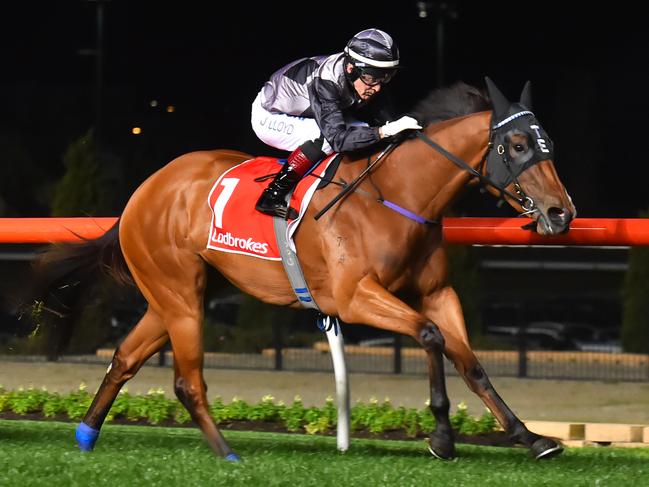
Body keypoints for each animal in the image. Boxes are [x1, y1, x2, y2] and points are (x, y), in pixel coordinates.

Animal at [31, 79, 572, 462]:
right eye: (518, 145)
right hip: (179, 292)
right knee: (187, 381)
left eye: (547, 142)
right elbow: (430, 337)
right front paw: (442, 436)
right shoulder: (354, 297)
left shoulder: (438, 292)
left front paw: (530, 436)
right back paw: (228, 454)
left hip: (177, 294)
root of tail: (144, 192)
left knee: (124, 357)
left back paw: (86, 436)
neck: (399, 194)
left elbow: (470, 362)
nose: (562, 213)